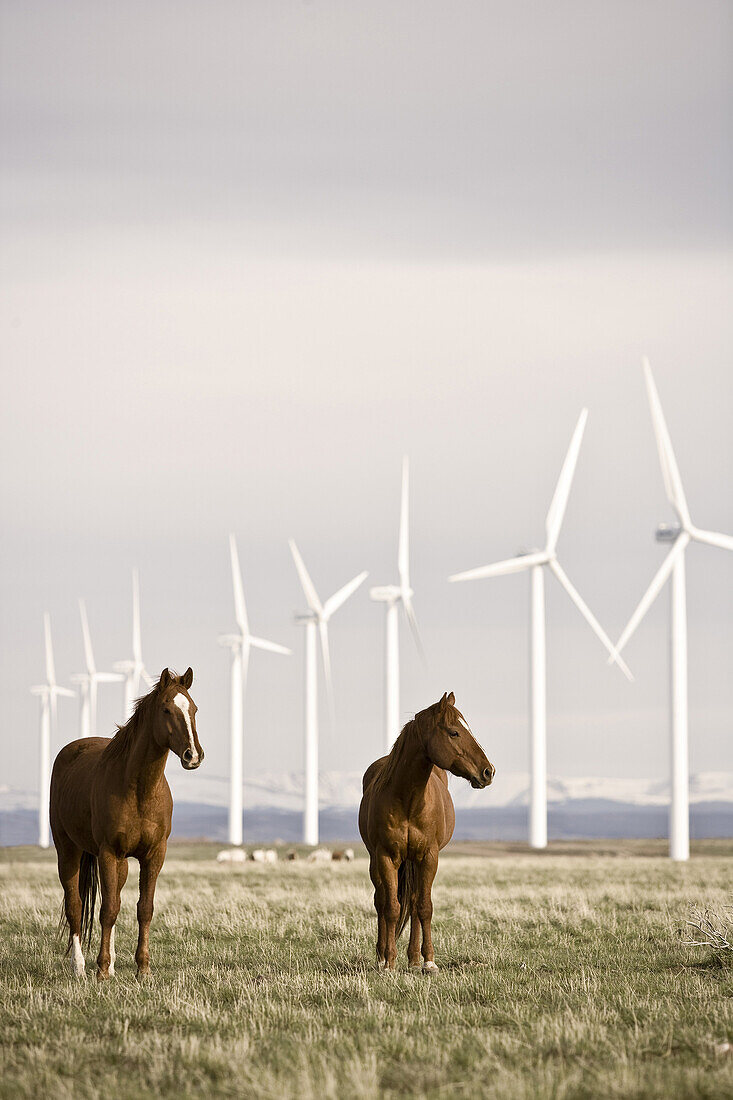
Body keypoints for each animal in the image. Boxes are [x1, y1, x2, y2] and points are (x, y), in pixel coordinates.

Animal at [50, 664, 202, 976]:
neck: (139, 789)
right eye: (167, 709)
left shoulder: (154, 855)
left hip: (119, 863)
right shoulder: (109, 852)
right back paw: (80, 967)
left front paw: (142, 969)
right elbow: (107, 910)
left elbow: (144, 908)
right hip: (68, 850)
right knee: (75, 905)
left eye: (193, 709)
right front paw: (100, 970)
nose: (193, 756)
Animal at [358, 690, 493, 976]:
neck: (408, 800)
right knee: (382, 901)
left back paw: (413, 958)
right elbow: (391, 907)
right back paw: (382, 956)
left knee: (413, 901)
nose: (489, 771)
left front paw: (429, 961)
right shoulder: (386, 857)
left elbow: (424, 907)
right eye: (454, 732)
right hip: (377, 861)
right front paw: (389, 962)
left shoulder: (429, 857)